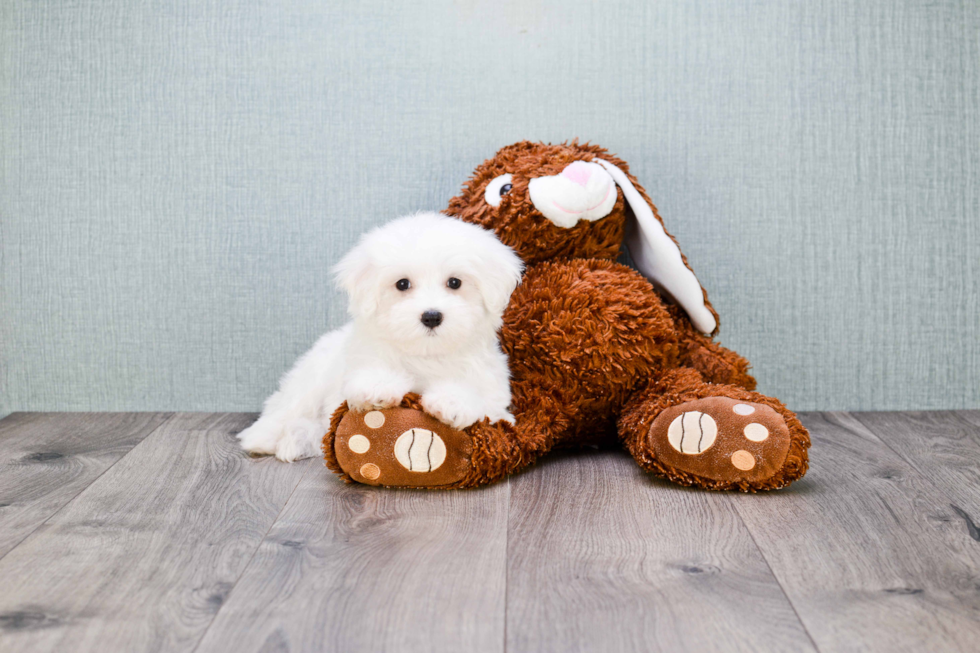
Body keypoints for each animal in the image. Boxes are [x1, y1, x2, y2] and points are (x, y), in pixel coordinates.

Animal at [235, 211, 520, 460]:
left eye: (455, 282)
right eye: (402, 284)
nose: (431, 316)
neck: (425, 355)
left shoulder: (495, 395)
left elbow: (485, 402)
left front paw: (453, 401)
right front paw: (378, 387)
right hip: (310, 378)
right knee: (285, 407)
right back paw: (265, 438)